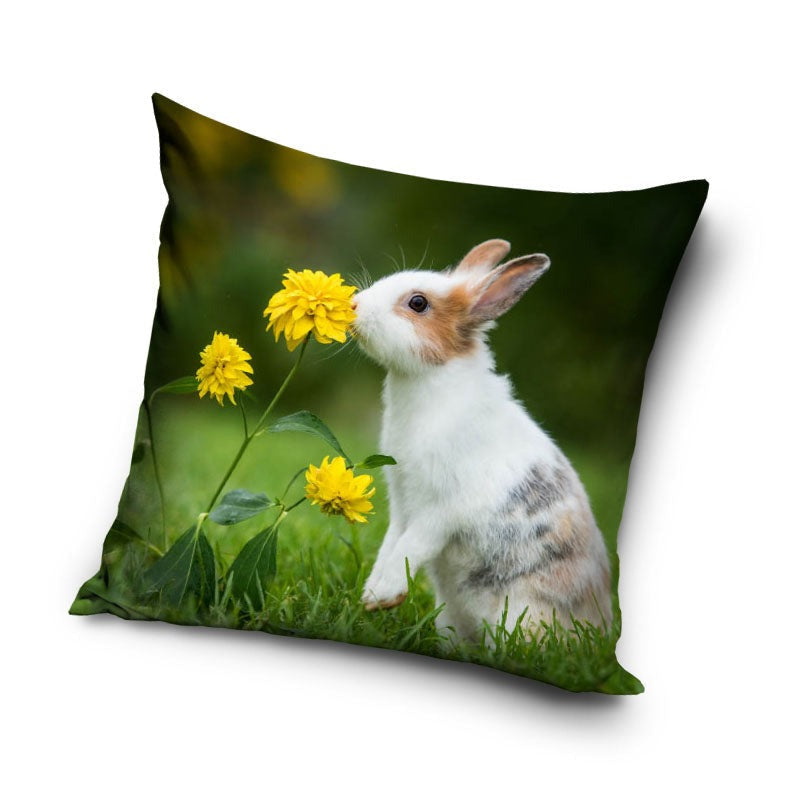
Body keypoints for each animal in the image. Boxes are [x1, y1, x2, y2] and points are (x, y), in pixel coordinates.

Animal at [352, 239, 612, 641]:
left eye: (417, 303)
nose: (354, 305)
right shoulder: (401, 504)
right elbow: (391, 543)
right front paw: (373, 596)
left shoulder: (441, 509)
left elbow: (412, 545)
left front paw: (381, 595)